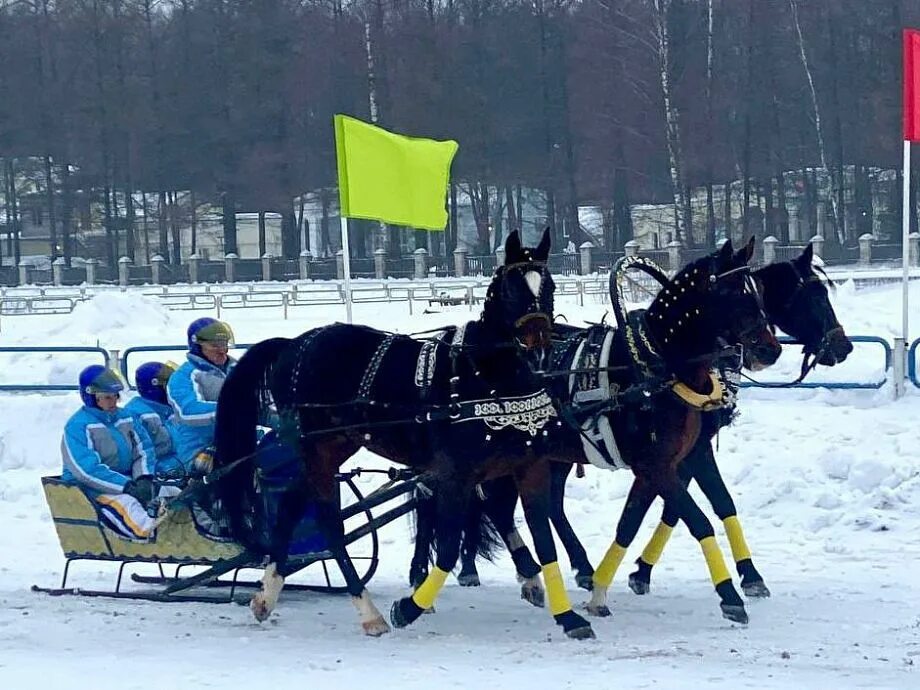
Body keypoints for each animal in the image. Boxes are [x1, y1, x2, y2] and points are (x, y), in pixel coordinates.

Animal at [210, 232, 604, 640]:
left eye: (549, 286)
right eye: (512, 288)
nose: (539, 343)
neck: (486, 375)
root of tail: (294, 342)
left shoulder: (529, 466)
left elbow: (544, 540)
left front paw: (569, 617)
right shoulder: (456, 475)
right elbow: (447, 548)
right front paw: (410, 607)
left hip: (329, 447)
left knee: (290, 505)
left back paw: (267, 595)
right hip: (319, 446)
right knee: (329, 521)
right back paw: (368, 610)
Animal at [414, 242, 852, 612]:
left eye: (758, 296)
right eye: (814, 295)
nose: (843, 346)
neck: (658, 366)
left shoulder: (683, 455)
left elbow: (666, 513)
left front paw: (621, 579)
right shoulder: (665, 462)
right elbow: (689, 514)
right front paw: (721, 584)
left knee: (533, 506)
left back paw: (564, 569)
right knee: (486, 505)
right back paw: (455, 572)